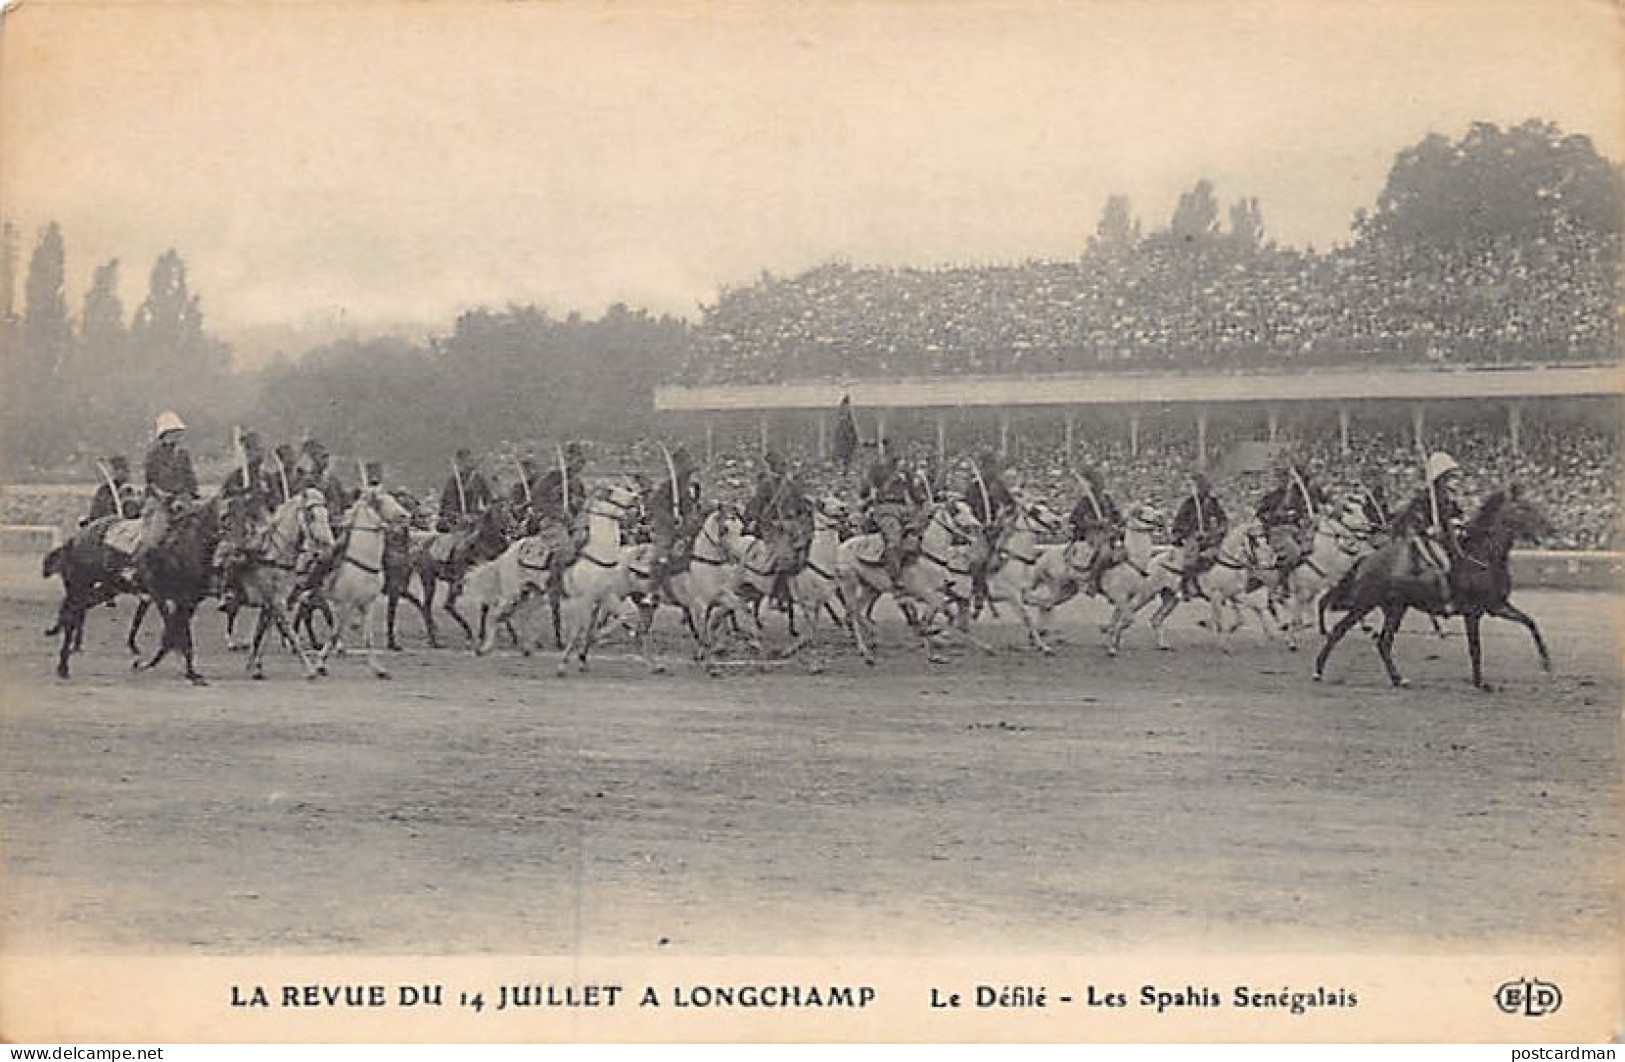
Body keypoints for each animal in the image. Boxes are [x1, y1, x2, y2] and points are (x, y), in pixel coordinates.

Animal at [237, 483, 333, 678]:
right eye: (311, 515)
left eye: (327, 514)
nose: (328, 549)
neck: (273, 554)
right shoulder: (277, 602)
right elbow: (289, 632)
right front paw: (310, 669)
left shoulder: (273, 602)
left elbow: (263, 632)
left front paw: (256, 666)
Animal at [312, 487, 412, 678]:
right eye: (379, 501)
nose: (405, 515)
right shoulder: (346, 604)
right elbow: (335, 633)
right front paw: (320, 665)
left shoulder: (367, 604)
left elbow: (368, 638)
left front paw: (379, 669)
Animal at [845, 500, 981, 665]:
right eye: (957, 510)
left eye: (970, 509)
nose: (978, 525)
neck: (930, 552)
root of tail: (843, 546)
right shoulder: (928, 594)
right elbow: (929, 618)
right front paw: (932, 633)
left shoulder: (937, 593)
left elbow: (935, 616)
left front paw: (933, 655)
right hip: (849, 582)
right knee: (852, 612)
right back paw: (864, 651)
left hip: (870, 588)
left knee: (857, 611)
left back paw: (872, 637)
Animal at [1111, 519, 1274, 656]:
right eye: (1255, 541)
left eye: (1265, 539)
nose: (1267, 564)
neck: (1227, 564)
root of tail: (1152, 562)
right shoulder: (1216, 596)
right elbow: (1220, 621)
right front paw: (1223, 644)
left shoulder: (1234, 596)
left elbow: (1249, 613)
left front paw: (1267, 634)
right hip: (1147, 594)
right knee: (1126, 613)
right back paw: (1113, 645)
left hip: (1171, 599)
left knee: (1155, 619)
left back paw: (1163, 645)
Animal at [1313, 490, 1553, 695]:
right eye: (1524, 508)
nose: (1549, 528)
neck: (1482, 557)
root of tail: (1367, 558)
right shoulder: (1472, 613)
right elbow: (1475, 648)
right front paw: (1480, 683)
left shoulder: (1497, 607)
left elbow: (1531, 623)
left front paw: (1546, 663)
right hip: (1365, 603)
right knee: (1340, 630)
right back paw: (1318, 671)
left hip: (1395, 608)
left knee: (1383, 642)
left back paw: (1398, 679)